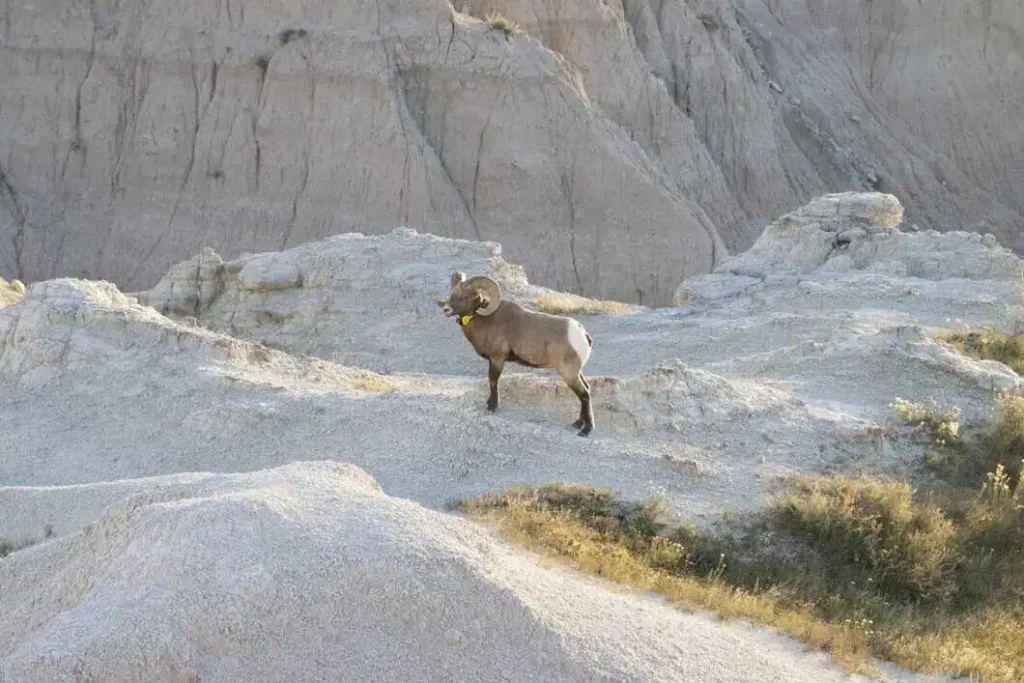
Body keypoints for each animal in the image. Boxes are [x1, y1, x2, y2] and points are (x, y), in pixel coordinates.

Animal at [438, 271, 595, 436]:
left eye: (465, 296)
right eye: (452, 293)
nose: (446, 309)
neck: (485, 320)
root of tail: (583, 334)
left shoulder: (497, 359)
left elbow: (493, 381)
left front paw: (492, 407)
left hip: (568, 373)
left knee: (584, 394)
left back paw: (586, 430)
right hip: (576, 372)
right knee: (586, 391)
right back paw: (577, 424)